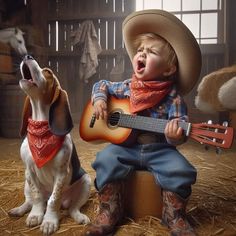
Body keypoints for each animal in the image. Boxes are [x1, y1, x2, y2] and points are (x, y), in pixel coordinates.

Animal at [8, 54, 91, 234]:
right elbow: (37, 196)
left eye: (47, 72)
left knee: (72, 208)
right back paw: (19, 210)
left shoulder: (61, 174)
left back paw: (79, 216)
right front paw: (36, 215)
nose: (27, 55)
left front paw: (49, 221)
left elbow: (54, 200)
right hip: (25, 182)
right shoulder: (29, 171)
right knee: (29, 201)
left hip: (86, 181)